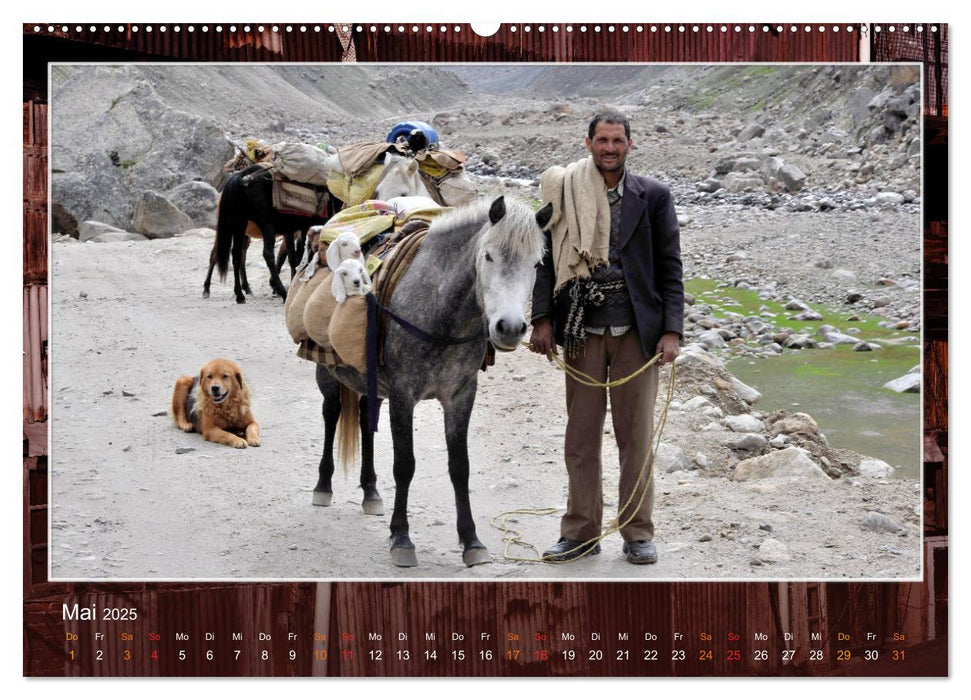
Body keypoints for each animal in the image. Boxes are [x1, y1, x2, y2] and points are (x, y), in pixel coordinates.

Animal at [316, 194, 552, 568]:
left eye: (536, 263)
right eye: (488, 255)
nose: (511, 328)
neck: (441, 311)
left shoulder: (461, 395)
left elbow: (460, 467)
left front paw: (472, 541)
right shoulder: (403, 395)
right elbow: (404, 465)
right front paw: (401, 538)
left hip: (371, 383)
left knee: (365, 421)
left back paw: (370, 492)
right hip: (326, 372)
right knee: (331, 414)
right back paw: (323, 487)